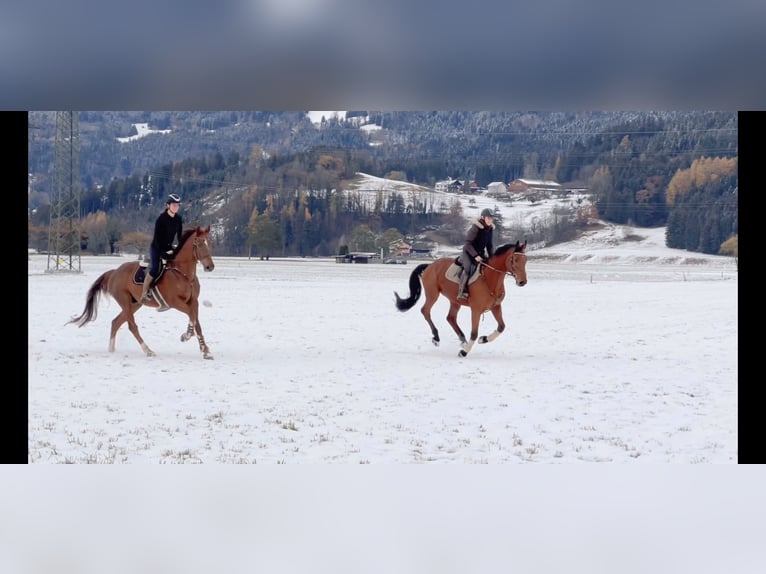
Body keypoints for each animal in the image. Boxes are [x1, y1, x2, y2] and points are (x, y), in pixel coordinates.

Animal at [68, 225, 216, 360]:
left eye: (209, 243)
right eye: (200, 244)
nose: (210, 267)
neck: (183, 275)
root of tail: (114, 272)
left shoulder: (194, 301)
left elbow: (196, 322)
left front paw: (205, 350)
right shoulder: (175, 302)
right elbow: (192, 316)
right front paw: (186, 336)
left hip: (135, 304)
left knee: (116, 322)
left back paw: (111, 349)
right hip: (125, 301)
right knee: (132, 326)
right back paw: (148, 350)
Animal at [396, 241, 528, 358]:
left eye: (525, 260)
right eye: (515, 260)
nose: (522, 282)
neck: (490, 278)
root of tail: (430, 265)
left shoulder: (495, 307)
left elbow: (501, 327)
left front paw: (483, 339)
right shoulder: (476, 310)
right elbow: (474, 333)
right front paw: (464, 352)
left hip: (455, 301)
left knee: (450, 318)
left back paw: (463, 340)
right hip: (432, 294)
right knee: (425, 311)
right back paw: (437, 338)